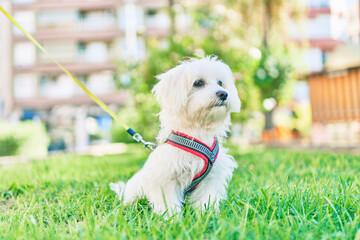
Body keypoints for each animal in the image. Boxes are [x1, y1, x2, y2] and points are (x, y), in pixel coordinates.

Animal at [109, 56, 239, 218]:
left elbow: (206, 199)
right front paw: (170, 219)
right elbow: (168, 202)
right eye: (198, 83)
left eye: (220, 83)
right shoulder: (166, 178)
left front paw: (206, 215)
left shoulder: (211, 178)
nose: (223, 93)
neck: (197, 132)